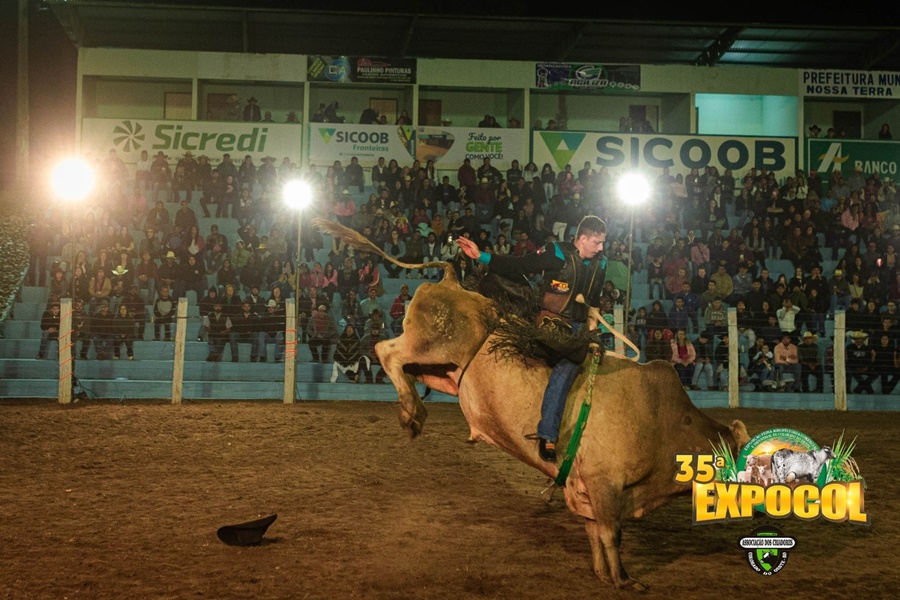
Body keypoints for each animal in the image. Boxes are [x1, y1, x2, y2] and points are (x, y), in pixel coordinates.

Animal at [312, 219, 748, 592]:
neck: (662, 420)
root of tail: (453, 281)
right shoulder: (605, 485)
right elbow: (611, 534)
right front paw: (625, 580)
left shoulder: (586, 490)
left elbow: (595, 534)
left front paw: (602, 574)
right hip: (431, 344)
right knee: (387, 352)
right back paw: (411, 414)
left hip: (443, 369)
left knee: (404, 367)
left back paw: (414, 409)